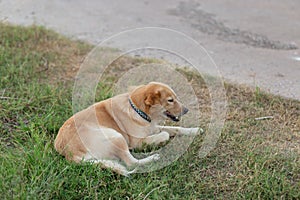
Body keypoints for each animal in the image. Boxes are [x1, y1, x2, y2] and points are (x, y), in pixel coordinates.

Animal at [54, 81, 199, 175]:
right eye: (170, 100)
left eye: (175, 98)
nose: (187, 110)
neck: (137, 110)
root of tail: (69, 153)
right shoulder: (137, 141)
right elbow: (165, 134)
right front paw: (161, 141)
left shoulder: (153, 127)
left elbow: (175, 128)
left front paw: (195, 130)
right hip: (116, 136)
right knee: (131, 162)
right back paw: (153, 157)